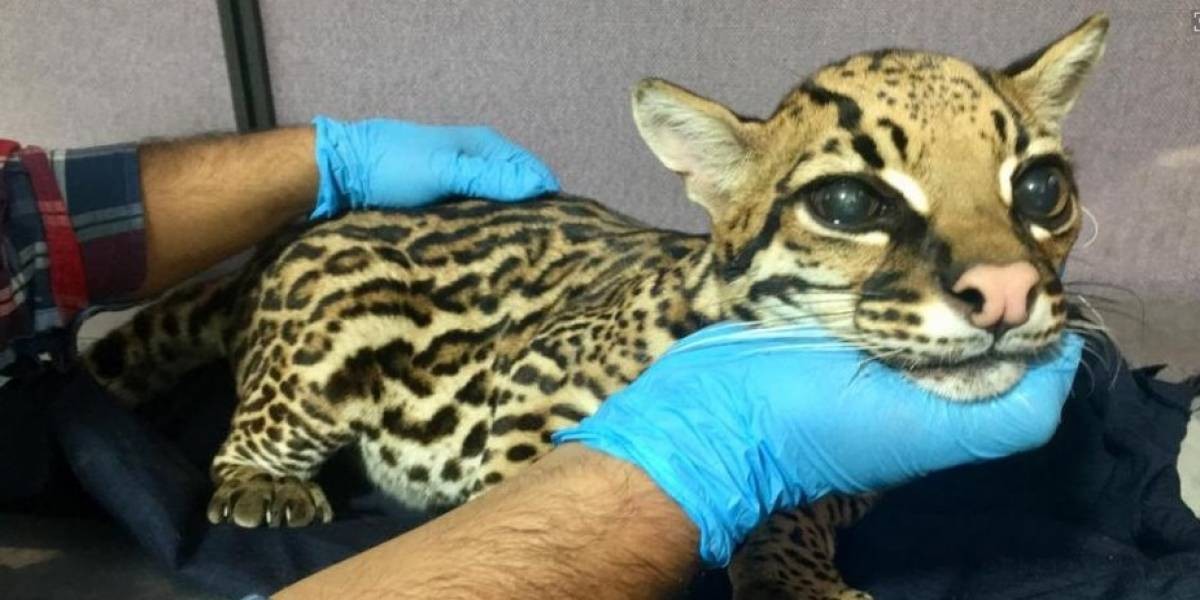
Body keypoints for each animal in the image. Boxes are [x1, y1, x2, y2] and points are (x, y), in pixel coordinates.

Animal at [84, 14, 1108, 599]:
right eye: (851, 204)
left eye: (1041, 189)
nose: (1009, 292)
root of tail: (283, 242)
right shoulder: (536, 379)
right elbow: (535, 478)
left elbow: (794, 511)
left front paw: (794, 578)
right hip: (321, 333)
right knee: (254, 423)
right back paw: (265, 480)